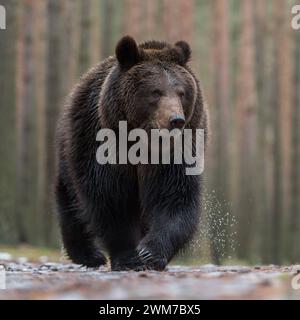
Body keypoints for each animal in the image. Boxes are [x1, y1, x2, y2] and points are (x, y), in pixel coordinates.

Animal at [54, 35, 209, 270]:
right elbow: (111, 199)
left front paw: (150, 253)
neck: (143, 144)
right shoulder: (102, 145)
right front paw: (128, 258)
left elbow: (174, 198)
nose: (176, 120)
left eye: (181, 92)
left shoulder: (176, 154)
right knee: (71, 202)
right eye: (156, 91)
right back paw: (89, 255)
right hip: (71, 149)